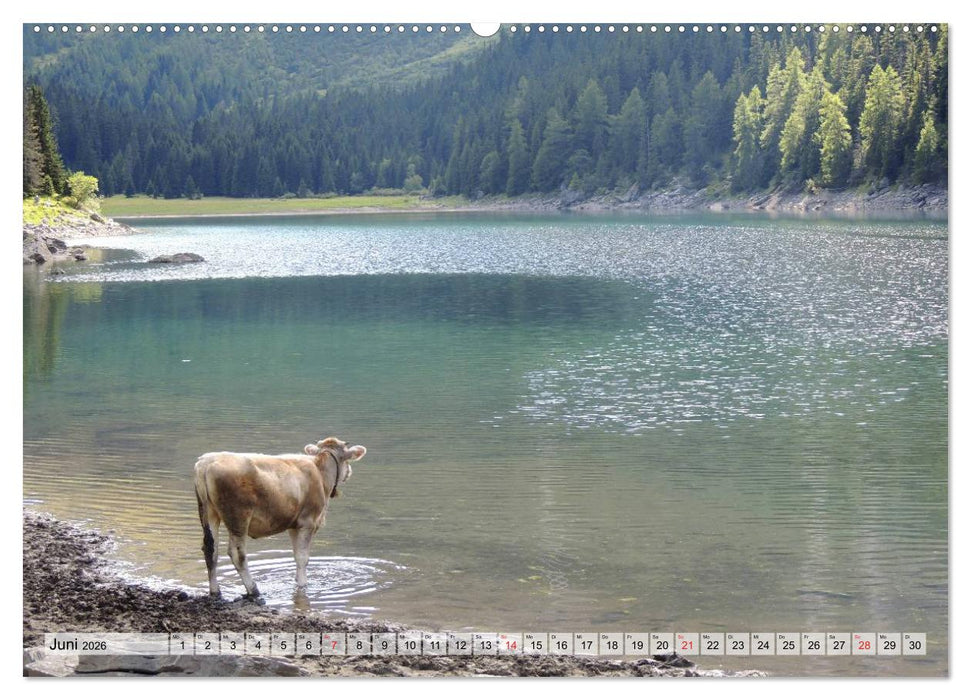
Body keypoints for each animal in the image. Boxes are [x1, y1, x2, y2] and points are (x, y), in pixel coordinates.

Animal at [193, 436, 367, 601]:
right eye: (347, 459)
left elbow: (296, 556)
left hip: (209, 513)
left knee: (211, 550)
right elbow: (303, 558)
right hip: (238, 517)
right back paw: (254, 590)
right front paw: (303, 585)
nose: (349, 472)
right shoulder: (308, 523)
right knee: (237, 555)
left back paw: (215, 591)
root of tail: (206, 462)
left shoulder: (294, 525)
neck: (320, 472)